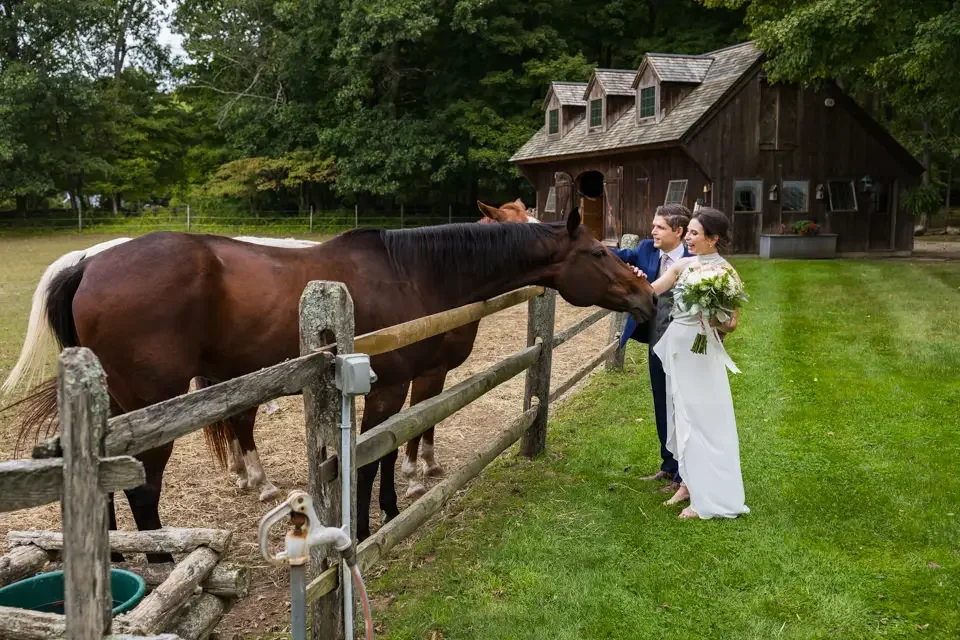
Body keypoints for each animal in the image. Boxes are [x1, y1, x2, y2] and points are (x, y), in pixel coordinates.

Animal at [8, 210, 653, 557]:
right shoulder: (390, 388)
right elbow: (370, 459)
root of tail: (90, 262)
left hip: (117, 411)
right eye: (598, 253)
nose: (646, 294)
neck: (415, 273)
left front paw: (391, 510)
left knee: (108, 489)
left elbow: (391, 452)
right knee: (143, 490)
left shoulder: (406, 384)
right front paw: (366, 528)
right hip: (154, 408)